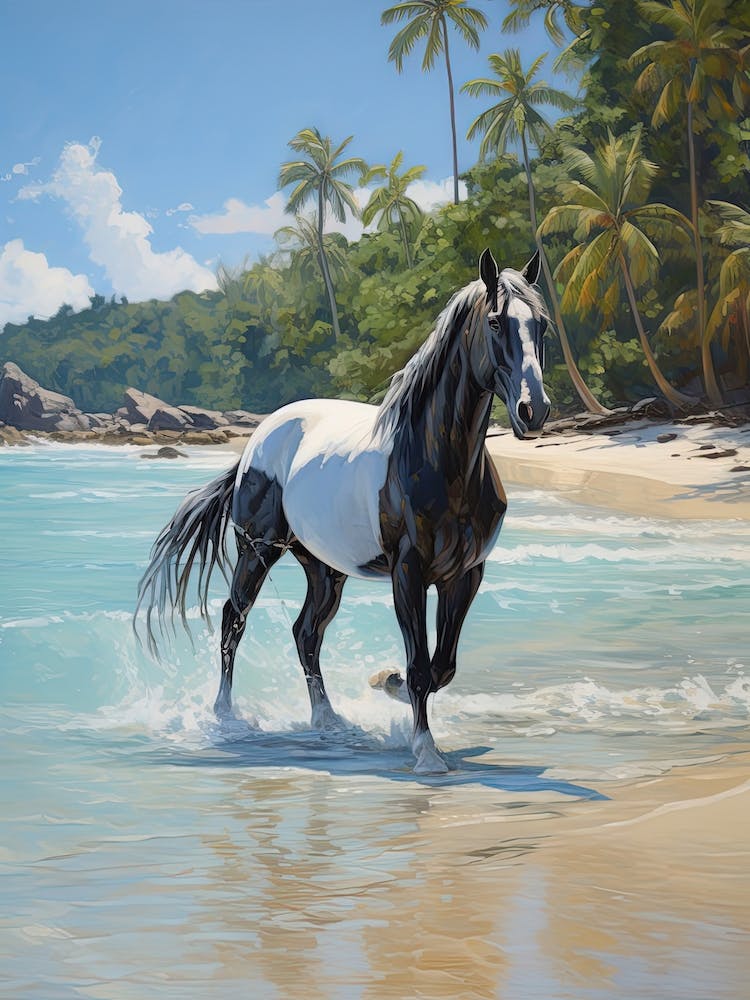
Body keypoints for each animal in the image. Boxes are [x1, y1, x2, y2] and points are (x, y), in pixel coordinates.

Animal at [135, 248, 551, 773]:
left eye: (542, 326)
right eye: (495, 323)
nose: (533, 411)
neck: (437, 461)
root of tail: (257, 441)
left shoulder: (465, 575)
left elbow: (443, 666)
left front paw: (387, 685)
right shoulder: (408, 573)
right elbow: (421, 666)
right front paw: (425, 751)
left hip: (324, 568)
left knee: (306, 633)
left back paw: (328, 721)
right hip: (258, 551)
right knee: (234, 618)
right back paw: (226, 716)